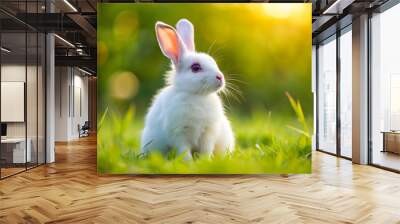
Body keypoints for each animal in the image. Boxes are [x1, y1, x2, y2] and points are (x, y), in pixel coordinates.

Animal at [141, 18, 234, 159]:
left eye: (214, 62)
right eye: (195, 68)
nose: (220, 77)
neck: (197, 96)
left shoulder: (208, 133)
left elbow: (206, 149)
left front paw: (205, 161)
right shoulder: (179, 133)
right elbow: (184, 151)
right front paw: (188, 162)